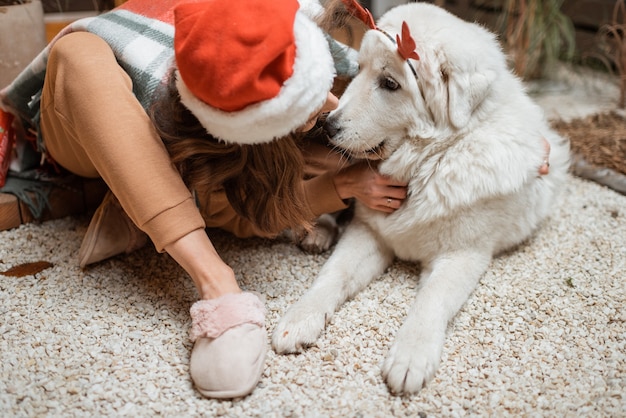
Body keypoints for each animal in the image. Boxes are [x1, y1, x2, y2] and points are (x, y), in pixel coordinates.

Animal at [270, 2, 568, 396]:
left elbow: (431, 299)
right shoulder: (370, 232)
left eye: (390, 83)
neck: (430, 160)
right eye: (359, 69)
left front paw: (410, 357)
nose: (327, 124)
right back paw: (318, 230)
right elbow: (333, 275)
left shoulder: (462, 255)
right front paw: (300, 318)